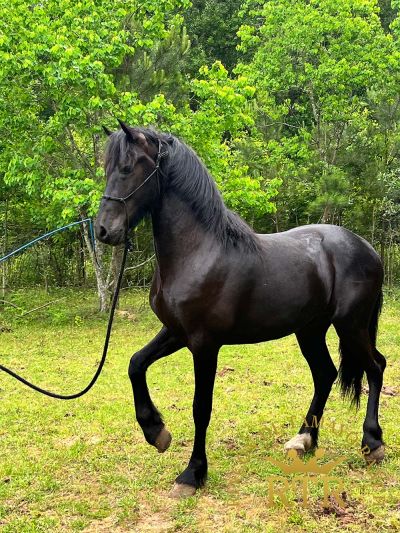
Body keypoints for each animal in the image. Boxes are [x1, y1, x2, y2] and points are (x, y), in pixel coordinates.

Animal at [95, 121, 386, 498]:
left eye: (128, 168)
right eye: (107, 169)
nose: (104, 230)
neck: (199, 252)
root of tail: (365, 247)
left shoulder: (204, 343)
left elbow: (201, 407)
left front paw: (192, 474)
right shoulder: (175, 332)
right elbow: (135, 364)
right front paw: (156, 431)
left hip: (351, 325)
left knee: (376, 367)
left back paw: (372, 443)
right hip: (310, 330)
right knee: (325, 374)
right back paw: (304, 440)